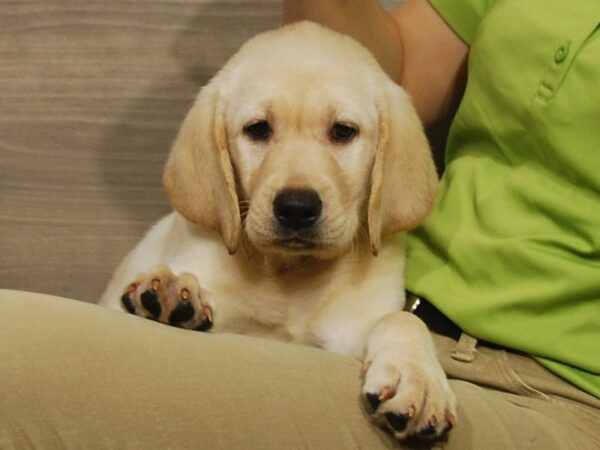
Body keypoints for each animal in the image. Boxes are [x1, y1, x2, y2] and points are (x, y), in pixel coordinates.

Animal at [101, 21, 454, 440]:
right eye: (257, 129)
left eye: (343, 132)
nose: (297, 208)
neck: (290, 274)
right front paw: (170, 291)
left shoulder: (351, 331)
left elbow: (403, 319)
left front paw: (419, 379)